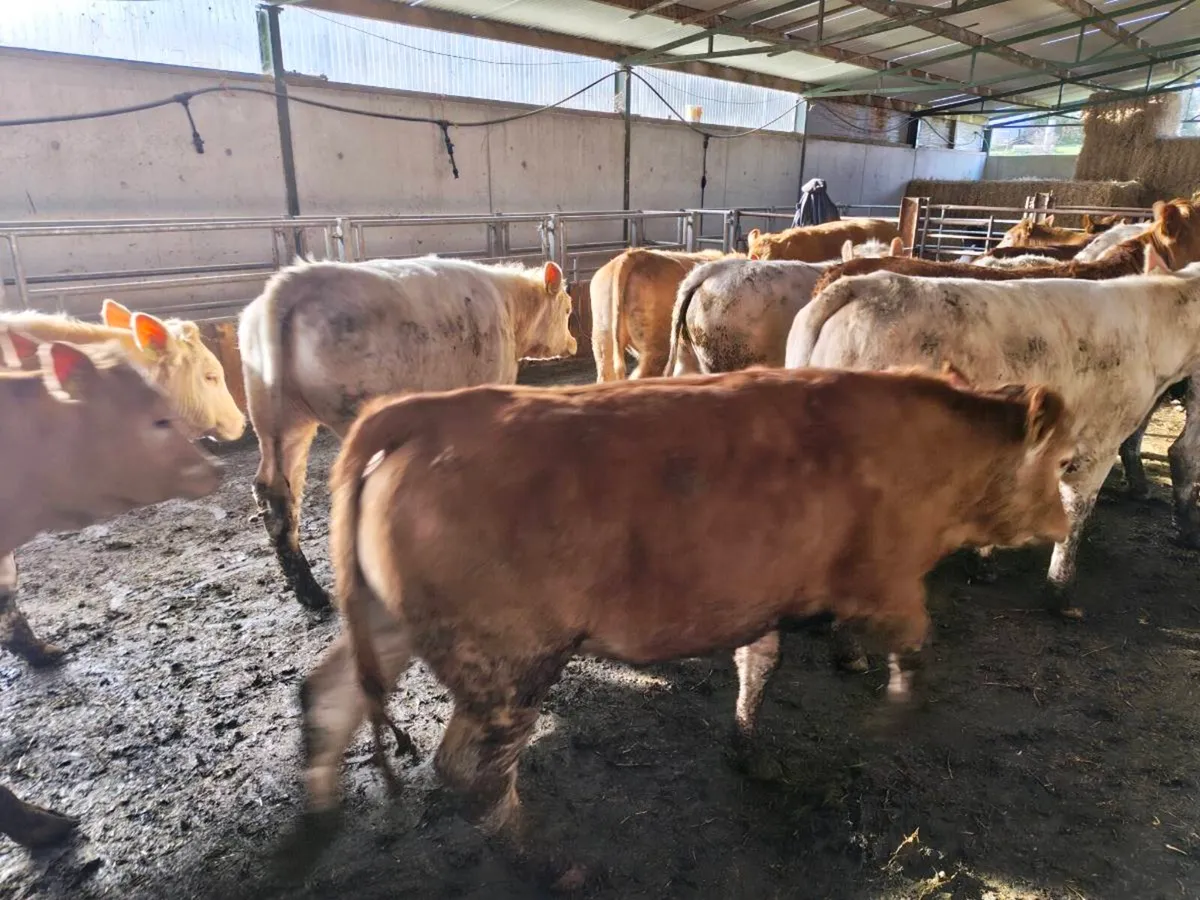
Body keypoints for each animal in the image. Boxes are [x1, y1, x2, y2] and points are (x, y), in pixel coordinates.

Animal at [239, 255, 577, 611]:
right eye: (568, 308)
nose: (573, 343)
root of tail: (290, 285)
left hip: (280, 419)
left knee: (277, 494)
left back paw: (312, 593)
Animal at [298, 366, 1073, 868]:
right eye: (1065, 461)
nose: (1065, 522)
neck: (926, 445)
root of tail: (428, 412)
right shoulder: (888, 581)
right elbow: (913, 644)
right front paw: (900, 713)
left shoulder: (765, 594)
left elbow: (758, 666)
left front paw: (749, 747)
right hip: (509, 664)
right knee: (473, 770)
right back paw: (543, 861)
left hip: (391, 621)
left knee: (327, 695)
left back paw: (318, 818)